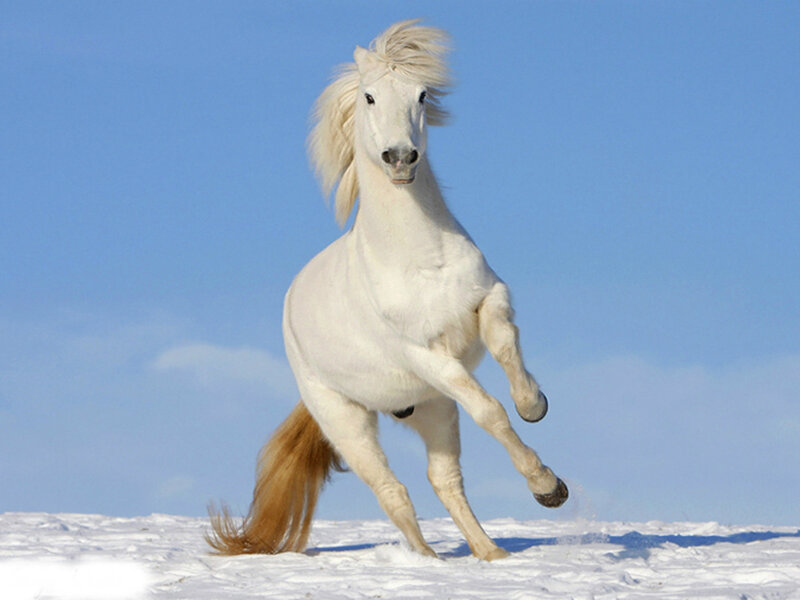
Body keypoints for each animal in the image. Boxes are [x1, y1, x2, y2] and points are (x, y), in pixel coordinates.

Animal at [207, 19, 568, 562]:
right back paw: (428, 562)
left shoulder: (488, 300)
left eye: (422, 94)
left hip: (431, 406)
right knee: (392, 492)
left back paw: (492, 556)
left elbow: (507, 353)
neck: (420, 259)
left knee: (443, 479)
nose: (400, 158)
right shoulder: (427, 355)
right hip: (348, 420)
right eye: (370, 96)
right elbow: (489, 411)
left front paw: (536, 408)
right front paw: (547, 487)